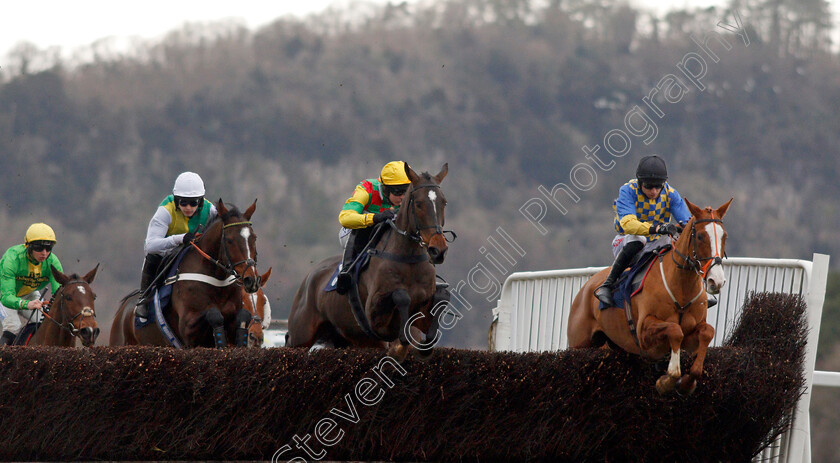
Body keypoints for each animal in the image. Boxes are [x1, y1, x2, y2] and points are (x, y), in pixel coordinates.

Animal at [110, 199, 260, 348]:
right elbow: (214, 314)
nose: (251, 280)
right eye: (229, 240)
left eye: (254, 238)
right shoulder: (188, 328)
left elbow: (243, 315)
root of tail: (121, 312)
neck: (217, 282)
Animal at [286, 163, 450, 362]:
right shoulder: (374, 317)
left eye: (443, 202)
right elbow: (401, 296)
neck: (408, 259)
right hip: (300, 336)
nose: (438, 250)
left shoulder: (421, 317)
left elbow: (441, 301)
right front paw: (398, 349)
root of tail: (309, 277)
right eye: (418, 204)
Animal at [568, 198, 732, 396]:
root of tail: (585, 289)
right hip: (579, 343)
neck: (681, 288)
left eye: (725, 236)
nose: (717, 281)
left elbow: (707, 333)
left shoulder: (692, 333)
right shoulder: (644, 333)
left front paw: (686, 383)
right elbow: (675, 330)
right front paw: (667, 380)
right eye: (700, 236)